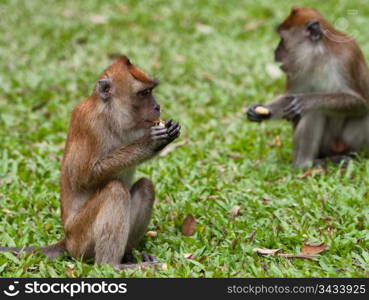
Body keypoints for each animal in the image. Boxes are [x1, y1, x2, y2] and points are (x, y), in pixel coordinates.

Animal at [0, 56, 180, 270]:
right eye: (144, 93)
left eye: (151, 91)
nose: (157, 107)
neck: (111, 116)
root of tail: (67, 240)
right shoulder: (89, 124)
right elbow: (82, 176)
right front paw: (151, 142)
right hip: (81, 238)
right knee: (115, 190)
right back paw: (112, 265)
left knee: (145, 186)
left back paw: (127, 256)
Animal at [246, 7, 369, 168]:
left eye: (283, 40)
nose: (275, 52)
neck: (319, 56)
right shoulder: (296, 70)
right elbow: (289, 98)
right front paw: (261, 111)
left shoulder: (347, 58)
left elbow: (362, 103)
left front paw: (307, 100)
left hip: (350, 143)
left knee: (314, 110)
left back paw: (306, 164)